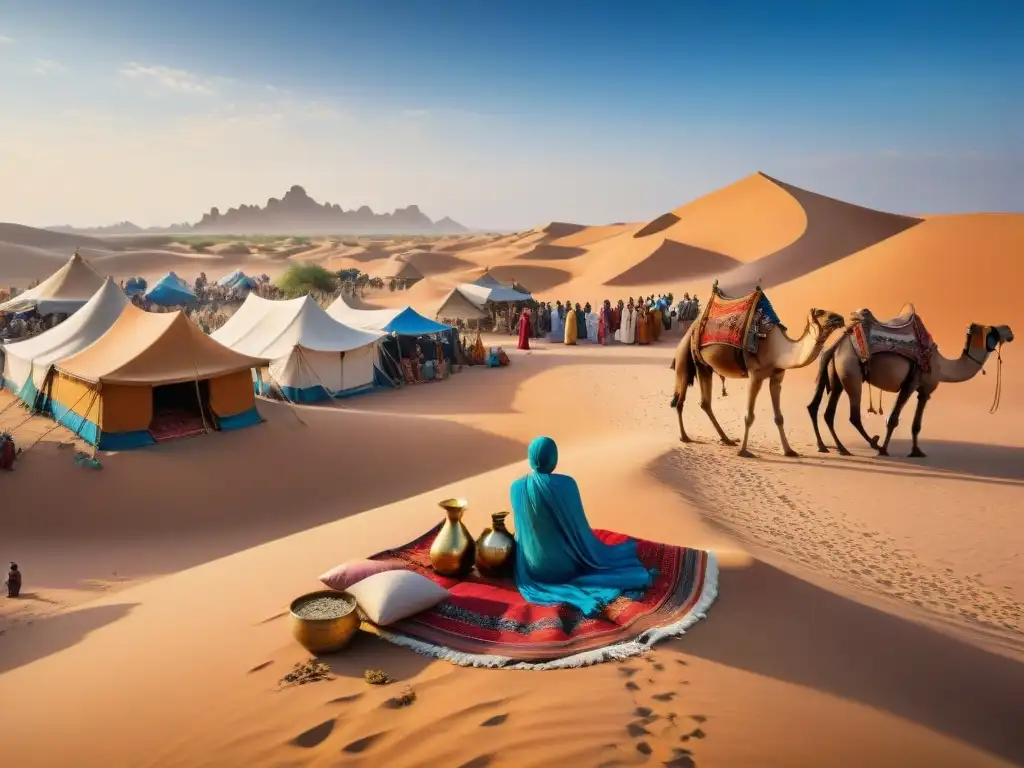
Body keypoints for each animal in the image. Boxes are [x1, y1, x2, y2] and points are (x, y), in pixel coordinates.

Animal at [667, 303, 843, 456]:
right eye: (820, 312)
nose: (840, 318)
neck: (777, 348)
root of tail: (692, 328)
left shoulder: (777, 377)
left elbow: (779, 417)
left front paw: (789, 451)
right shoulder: (755, 375)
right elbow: (749, 416)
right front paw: (744, 451)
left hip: (704, 366)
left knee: (704, 403)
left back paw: (727, 439)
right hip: (693, 361)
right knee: (681, 399)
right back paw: (685, 437)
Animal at [806, 311, 1015, 460]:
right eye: (992, 329)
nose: (1009, 330)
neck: (942, 365)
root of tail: (837, 344)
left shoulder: (923, 391)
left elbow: (916, 425)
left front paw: (916, 451)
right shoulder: (913, 383)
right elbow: (893, 419)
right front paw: (886, 450)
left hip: (837, 375)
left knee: (827, 412)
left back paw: (838, 448)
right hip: (852, 373)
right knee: (853, 416)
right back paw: (874, 444)